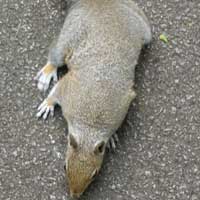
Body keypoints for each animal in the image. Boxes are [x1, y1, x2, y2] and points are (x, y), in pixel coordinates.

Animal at [35, 0, 152, 198]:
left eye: (94, 174)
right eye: (64, 167)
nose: (74, 195)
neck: (90, 125)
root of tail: (98, 3)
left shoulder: (123, 106)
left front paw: (111, 138)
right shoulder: (69, 89)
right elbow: (56, 92)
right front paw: (48, 104)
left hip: (142, 24)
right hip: (71, 31)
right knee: (56, 55)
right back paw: (47, 73)